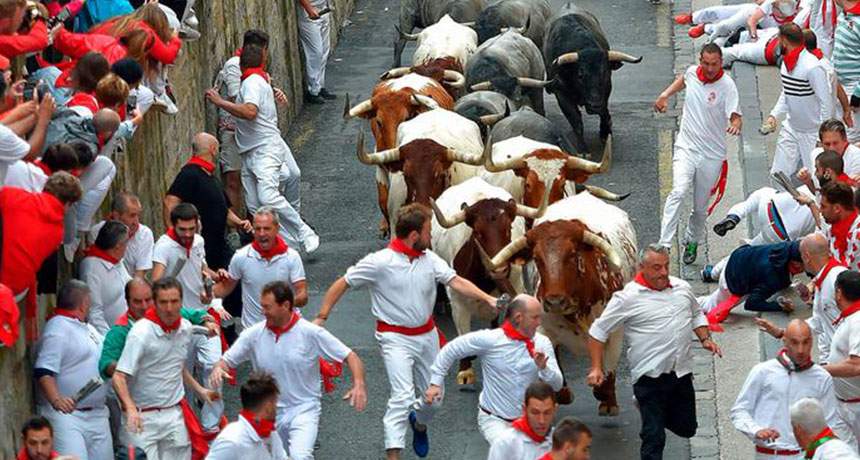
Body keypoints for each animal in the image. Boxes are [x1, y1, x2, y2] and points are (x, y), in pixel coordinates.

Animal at [430, 177, 544, 384]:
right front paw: (465, 371)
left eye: (508, 229)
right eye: (477, 233)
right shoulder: (457, 302)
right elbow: (463, 334)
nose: (499, 269)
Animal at [478, 190, 640, 414]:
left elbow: (606, 375)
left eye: (572, 255)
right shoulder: (544, 330)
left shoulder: (614, 334)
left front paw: (608, 400)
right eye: (537, 258)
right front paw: (562, 392)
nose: (555, 301)